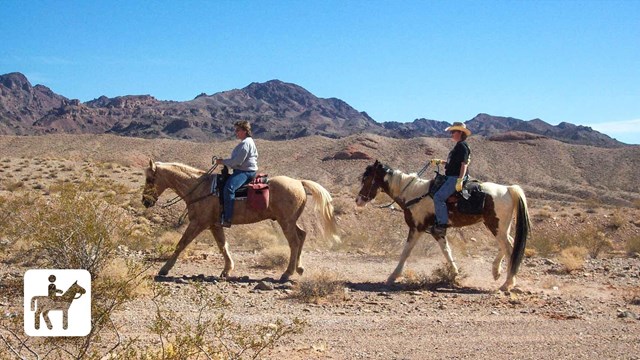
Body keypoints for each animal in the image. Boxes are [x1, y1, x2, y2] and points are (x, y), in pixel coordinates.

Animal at [141, 160, 340, 282]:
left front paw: (164, 269)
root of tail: (299, 182)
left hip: (286, 222)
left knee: (295, 242)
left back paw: (287, 273)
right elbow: (223, 245)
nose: (145, 201)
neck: (199, 188)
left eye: (150, 178)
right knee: (302, 235)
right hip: (290, 221)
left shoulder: (198, 223)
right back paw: (299, 269)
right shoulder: (214, 225)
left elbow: (181, 244)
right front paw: (227, 270)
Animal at [356, 162, 528, 292]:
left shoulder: (416, 228)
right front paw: (454, 274)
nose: (358, 200)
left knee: (508, 247)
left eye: (367, 179)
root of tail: (508, 189)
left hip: (496, 225)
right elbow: (446, 251)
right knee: (509, 243)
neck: (413, 193)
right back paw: (496, 272)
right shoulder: (437, 231)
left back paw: (507, 283)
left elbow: (406, 252)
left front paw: (393, 276)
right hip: (500, 227)